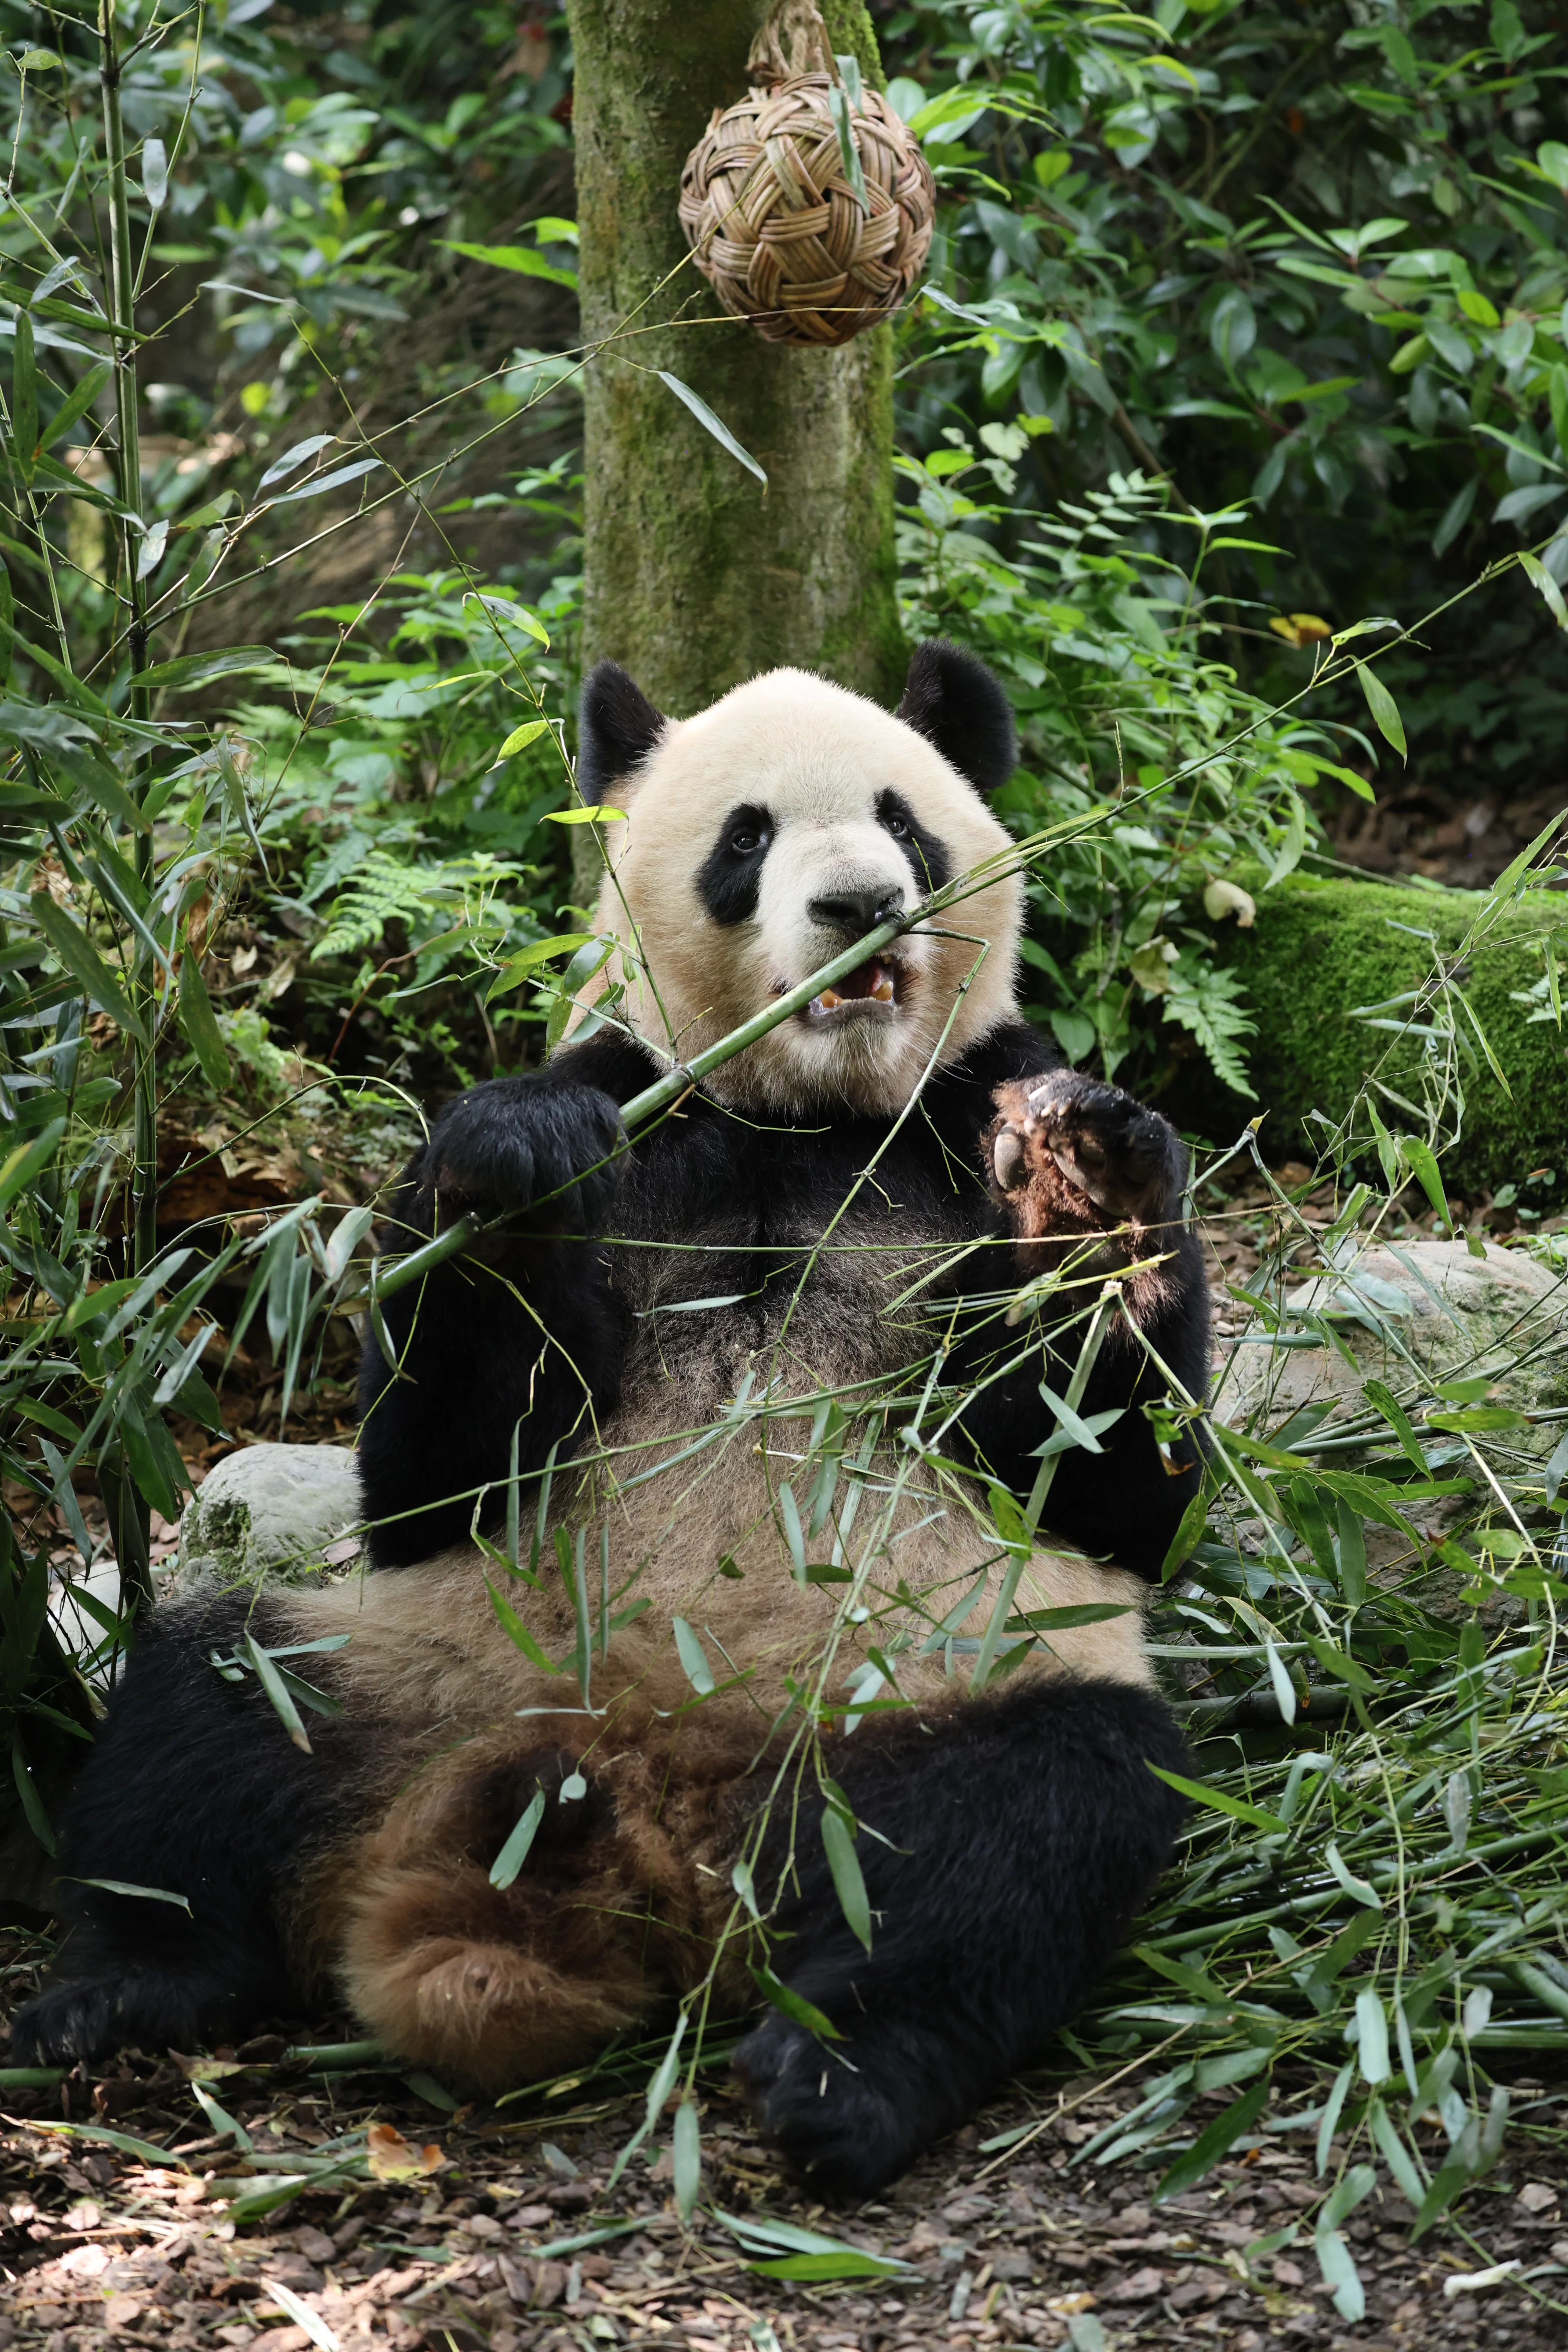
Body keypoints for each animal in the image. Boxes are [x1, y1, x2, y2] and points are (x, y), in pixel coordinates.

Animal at [14, 642, 1210, 2198]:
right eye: (747, 839)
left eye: (903, 822)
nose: (857, 905)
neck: (800, 1110)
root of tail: (650, 1790)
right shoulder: (631, 1102)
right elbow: (430, 1466)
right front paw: (515, 1177)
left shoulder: (960, 1116)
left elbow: (1115, 1489)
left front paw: (1086, 1179)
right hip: (417, 1662)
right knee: (204, 1715)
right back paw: (109, 1990)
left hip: (941, 1677)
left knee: (1026, 1833)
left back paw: (847, 2073)